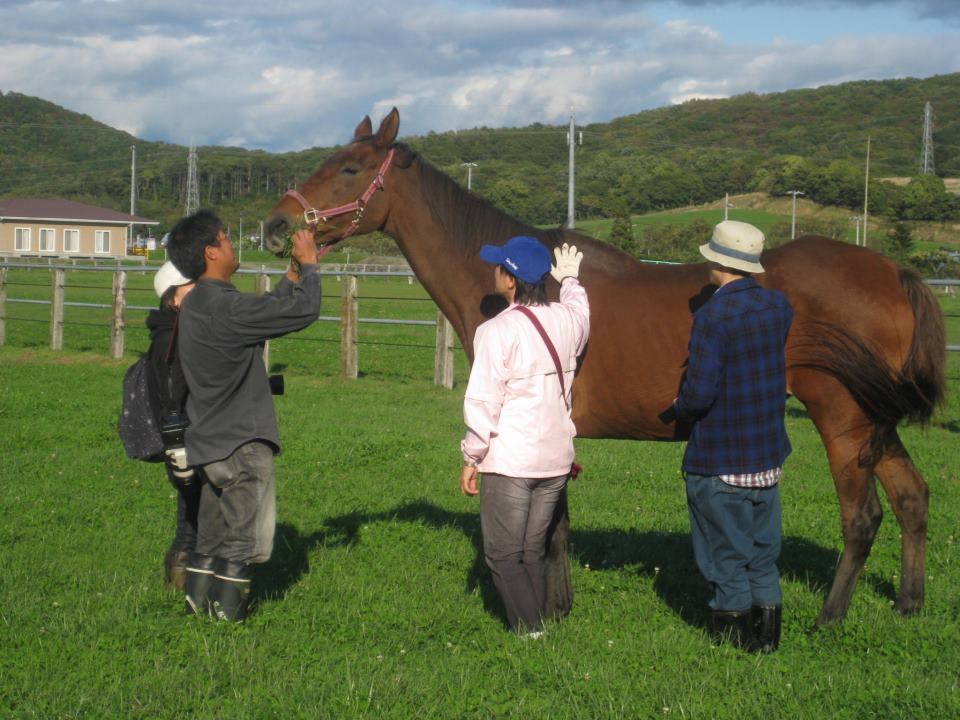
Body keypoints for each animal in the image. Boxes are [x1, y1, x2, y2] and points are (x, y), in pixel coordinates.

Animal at [264, 108, 946, 627]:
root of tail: (893, 271)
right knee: (912, 499)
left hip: (842, 418)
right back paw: (908, 606)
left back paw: (829, 617)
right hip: (876, 425)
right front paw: (561, 604)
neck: (532, 284)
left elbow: (549, 526)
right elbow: (556, 522)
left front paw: (552, 610)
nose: (275, 225)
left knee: (863, 517)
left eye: (349, 168)